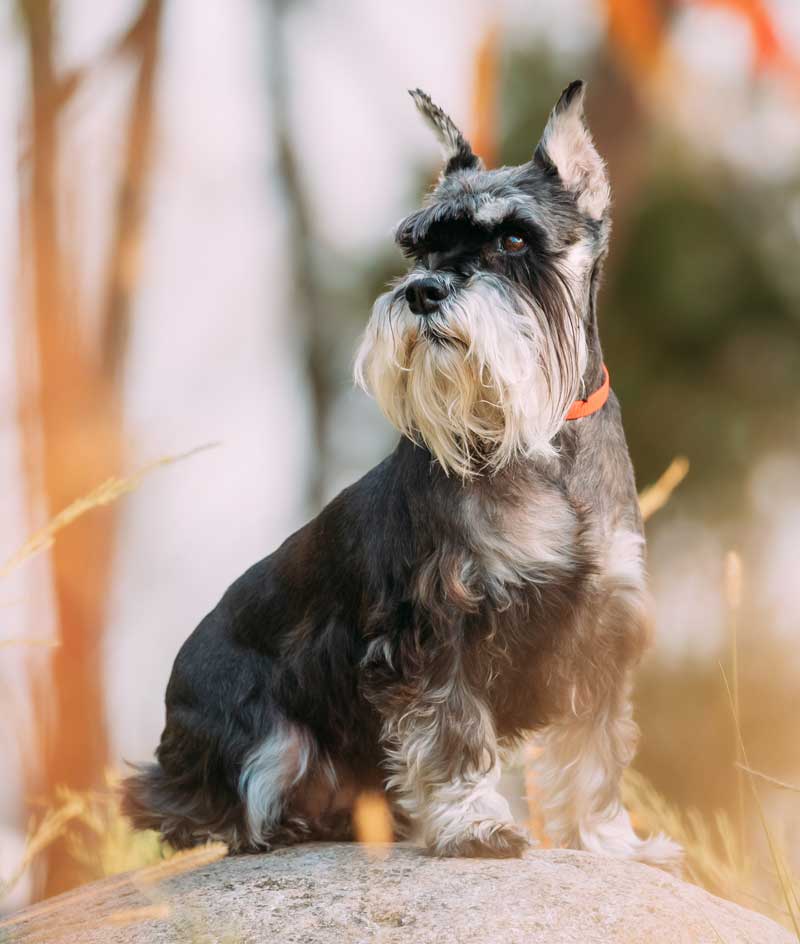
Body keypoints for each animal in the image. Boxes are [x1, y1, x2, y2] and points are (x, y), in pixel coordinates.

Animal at [123, 81, 680, 864]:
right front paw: (474, 824)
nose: (423, 292)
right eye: (420, 246)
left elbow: (595, 751)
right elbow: (453, 734)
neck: (542, 444)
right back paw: (277, 823)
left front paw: (608, 841)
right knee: (212, 803)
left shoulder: (603, 625)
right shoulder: (434, 624)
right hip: (264, 737)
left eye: (513, 239)